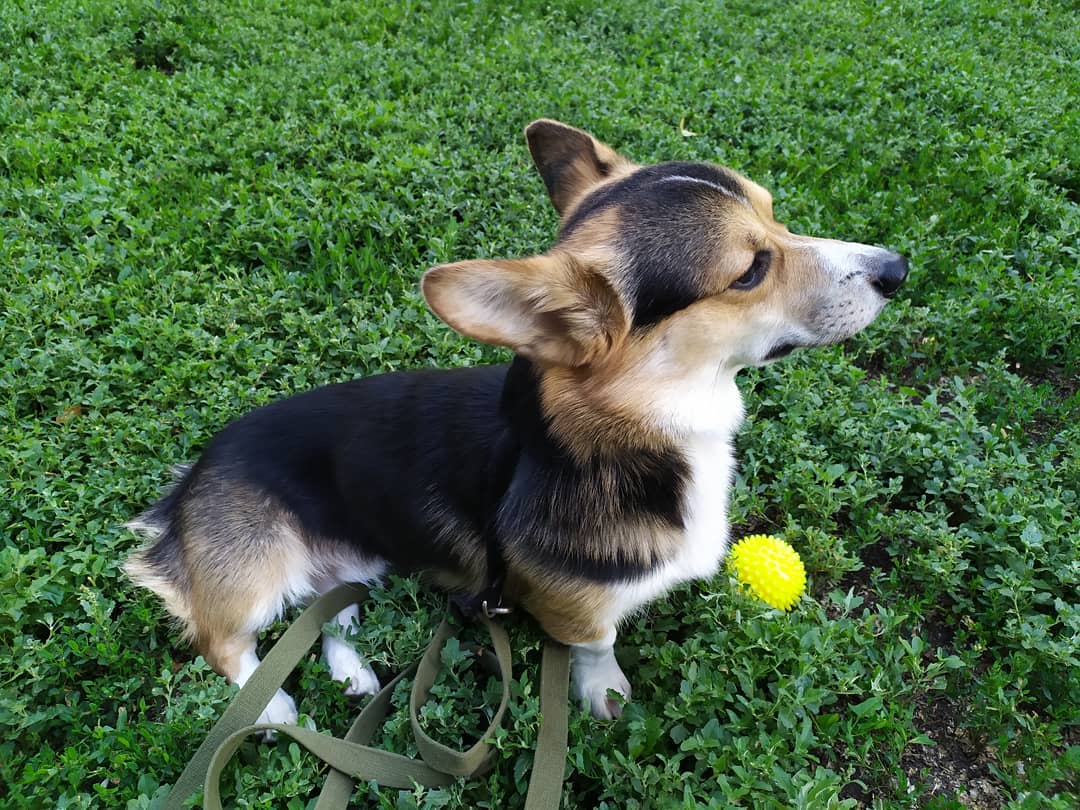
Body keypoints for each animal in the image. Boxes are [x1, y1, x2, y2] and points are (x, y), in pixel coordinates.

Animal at [124, 118, 902, 721]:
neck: (647, 429)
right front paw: (605, 694)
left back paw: (353, 674)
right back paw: (273, 710)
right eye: (750, 271)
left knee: (329, 613)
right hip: (255, 576)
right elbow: (596, 643)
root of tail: (193, 475)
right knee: (225, 642)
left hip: (360, 558)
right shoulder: (573, 607)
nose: (896, 268)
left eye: (776, 213)